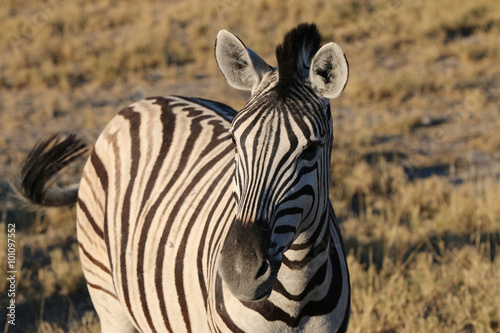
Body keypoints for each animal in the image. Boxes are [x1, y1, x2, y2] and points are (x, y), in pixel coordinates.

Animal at [16, 22, 352, 330]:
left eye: (310, 150)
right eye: (234, 142)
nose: (239, 272)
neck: (296, 291)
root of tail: (144, 101)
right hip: (107, 296)